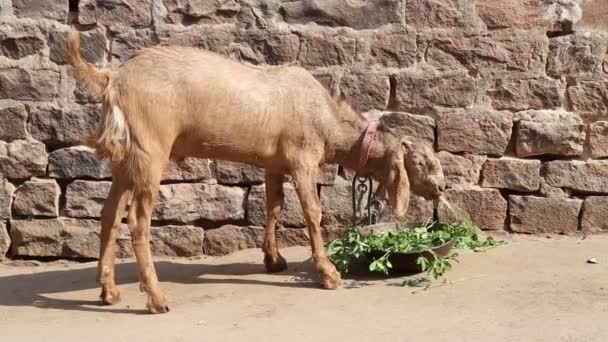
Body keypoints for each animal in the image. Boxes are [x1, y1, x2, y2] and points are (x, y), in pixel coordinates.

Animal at [66, 30, 446, 314]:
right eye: (422, 162)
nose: (441, 188)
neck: (326, 117)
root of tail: (113, 78)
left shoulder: (274, 164)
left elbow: (273, 206)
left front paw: (273, 259)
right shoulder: (302, 158)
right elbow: (312, 212)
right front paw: (328, 273)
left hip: (125, 155)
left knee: (109, 214)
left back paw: (109, 291)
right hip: (150, 147)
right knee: (137, 221)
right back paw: (156, 299)